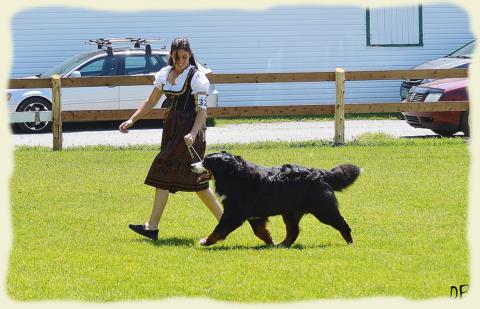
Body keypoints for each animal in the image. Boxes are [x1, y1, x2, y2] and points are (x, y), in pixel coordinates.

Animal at [191, 150, 360, 247]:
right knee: (293, 231)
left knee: (343, 225)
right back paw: (282, 244)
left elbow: (219, 228)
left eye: (206, 161)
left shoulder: (234, 213)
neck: (233, 175)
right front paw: (270, 242)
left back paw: (350, 243)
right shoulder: (252, 214)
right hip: (291, 212)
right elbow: (260, 231)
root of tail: (321, 173)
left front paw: (206, 241)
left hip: (323, 209)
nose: (192, 165)